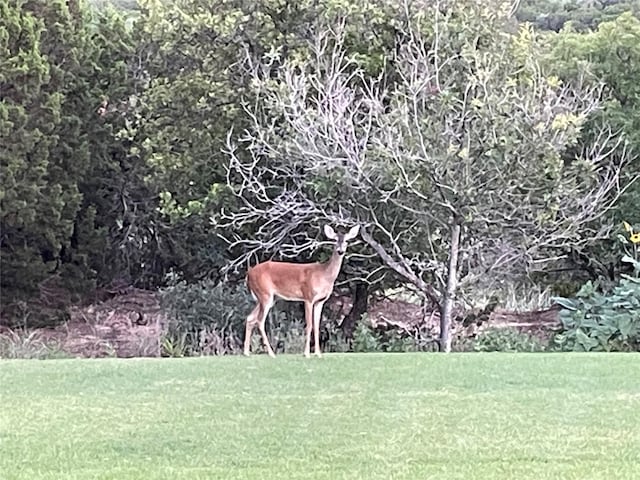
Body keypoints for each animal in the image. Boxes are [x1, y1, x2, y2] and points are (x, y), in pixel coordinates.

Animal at [244, 225, 358, 356]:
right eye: (334, 240)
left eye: (346, 240)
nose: (340, 251)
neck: (324, 275)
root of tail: (249, 273)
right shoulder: (308, 296)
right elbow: (309, 325)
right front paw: (306, 353)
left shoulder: (320, 301)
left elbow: (317, 325)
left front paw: (318, 353)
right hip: (265, 294)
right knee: (259, 321)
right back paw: (271, 353)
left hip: (267, 297)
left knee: (250, 318)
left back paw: (246, 352)